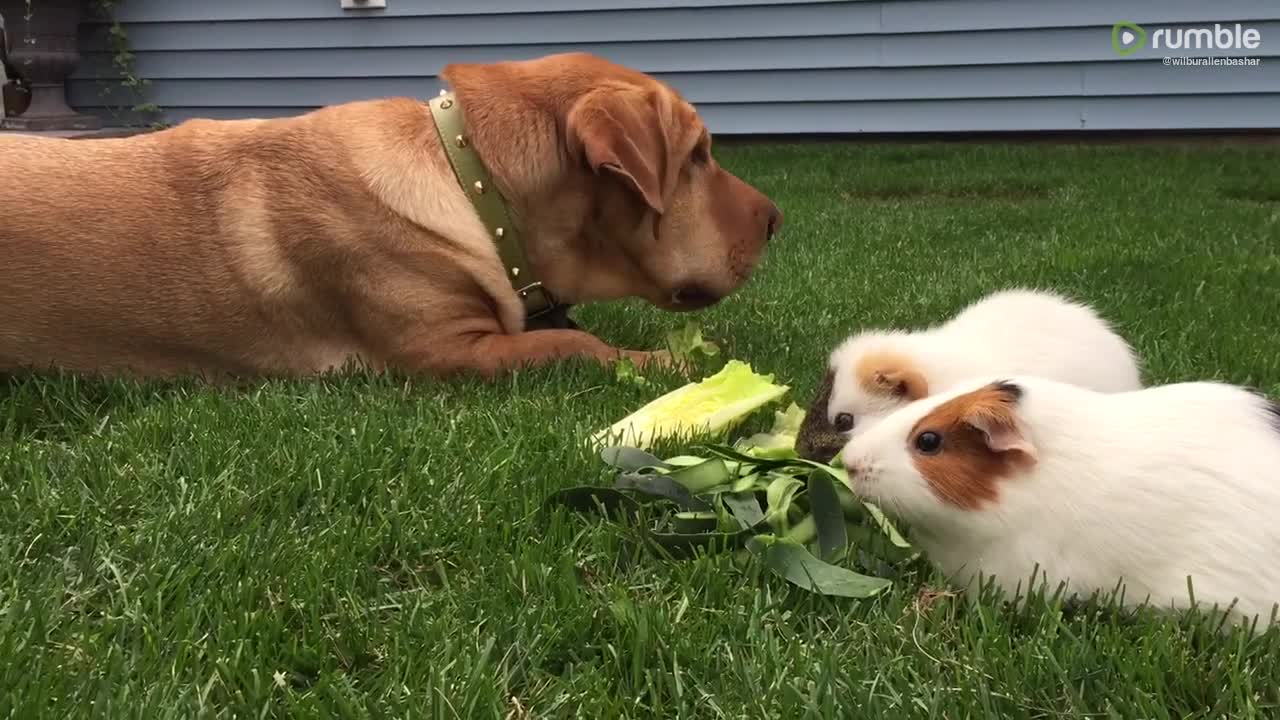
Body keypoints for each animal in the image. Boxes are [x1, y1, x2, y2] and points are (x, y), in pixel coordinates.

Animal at [0, 51, 778, 379]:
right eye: (698, 155)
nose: (776, 220)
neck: (472, 182)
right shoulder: (446, 351)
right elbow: (575, 344)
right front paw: (667, 360)